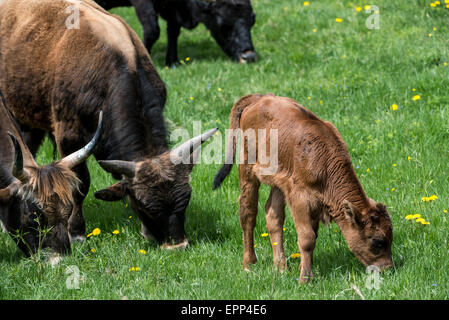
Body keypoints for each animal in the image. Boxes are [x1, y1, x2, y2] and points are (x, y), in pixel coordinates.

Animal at [95, 0, 258, 66]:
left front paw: (173, 61)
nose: (249, 57)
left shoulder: (173, 9)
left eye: (252, 20)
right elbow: (152, 30)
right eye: (223, 24)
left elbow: (173, 32)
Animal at [214, 94, 392, 284]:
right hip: (247, 168)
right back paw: (249, 264)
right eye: (378, 241)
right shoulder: (300, 199)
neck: (325, 162)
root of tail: (259, 98)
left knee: (273, 216)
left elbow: (312, 235)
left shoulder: (313, 203)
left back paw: (282, 268)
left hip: (279, 182)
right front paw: (305, 280)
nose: (388, 268)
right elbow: (307, 239)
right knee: (248, 213)